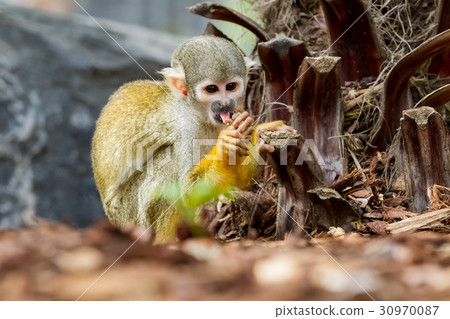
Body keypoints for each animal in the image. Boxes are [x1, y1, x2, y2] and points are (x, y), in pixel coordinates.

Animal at [93, 35, 294, 245]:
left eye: (231, 86)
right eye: (212, 89)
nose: (225, 104)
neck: (200, 115)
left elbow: (239, 181)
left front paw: (257, 135)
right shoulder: (185, 127)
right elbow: (187, 192)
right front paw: (223, 147)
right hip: (130, 218)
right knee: (167, 165)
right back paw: (165, 241)